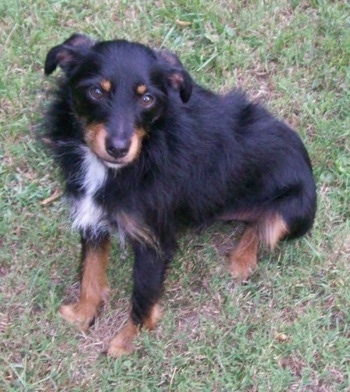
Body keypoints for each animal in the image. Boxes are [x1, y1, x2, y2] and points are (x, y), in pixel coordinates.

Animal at [42, 34, 316, 358]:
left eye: (147, 99)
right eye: (96, 91)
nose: (118, 148)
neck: (145, 153)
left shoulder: (154, 240)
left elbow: (142, 296)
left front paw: (125, 343)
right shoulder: (92, 217)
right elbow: (90, 273)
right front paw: (82, 314)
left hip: (293, 211)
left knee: (265, 227)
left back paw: (242, 259)